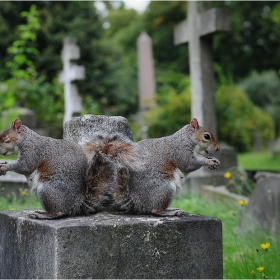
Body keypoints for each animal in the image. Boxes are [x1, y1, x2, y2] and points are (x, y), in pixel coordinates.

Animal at [84, 117, 220, 215]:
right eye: (206, 136)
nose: (218, 148)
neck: (186, 139)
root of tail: (138, 202)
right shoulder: (179, 151)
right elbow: (189, 164)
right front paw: (208, 162)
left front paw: (213, 159)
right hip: (166, 189)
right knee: (154, 210)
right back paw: (169, 212)